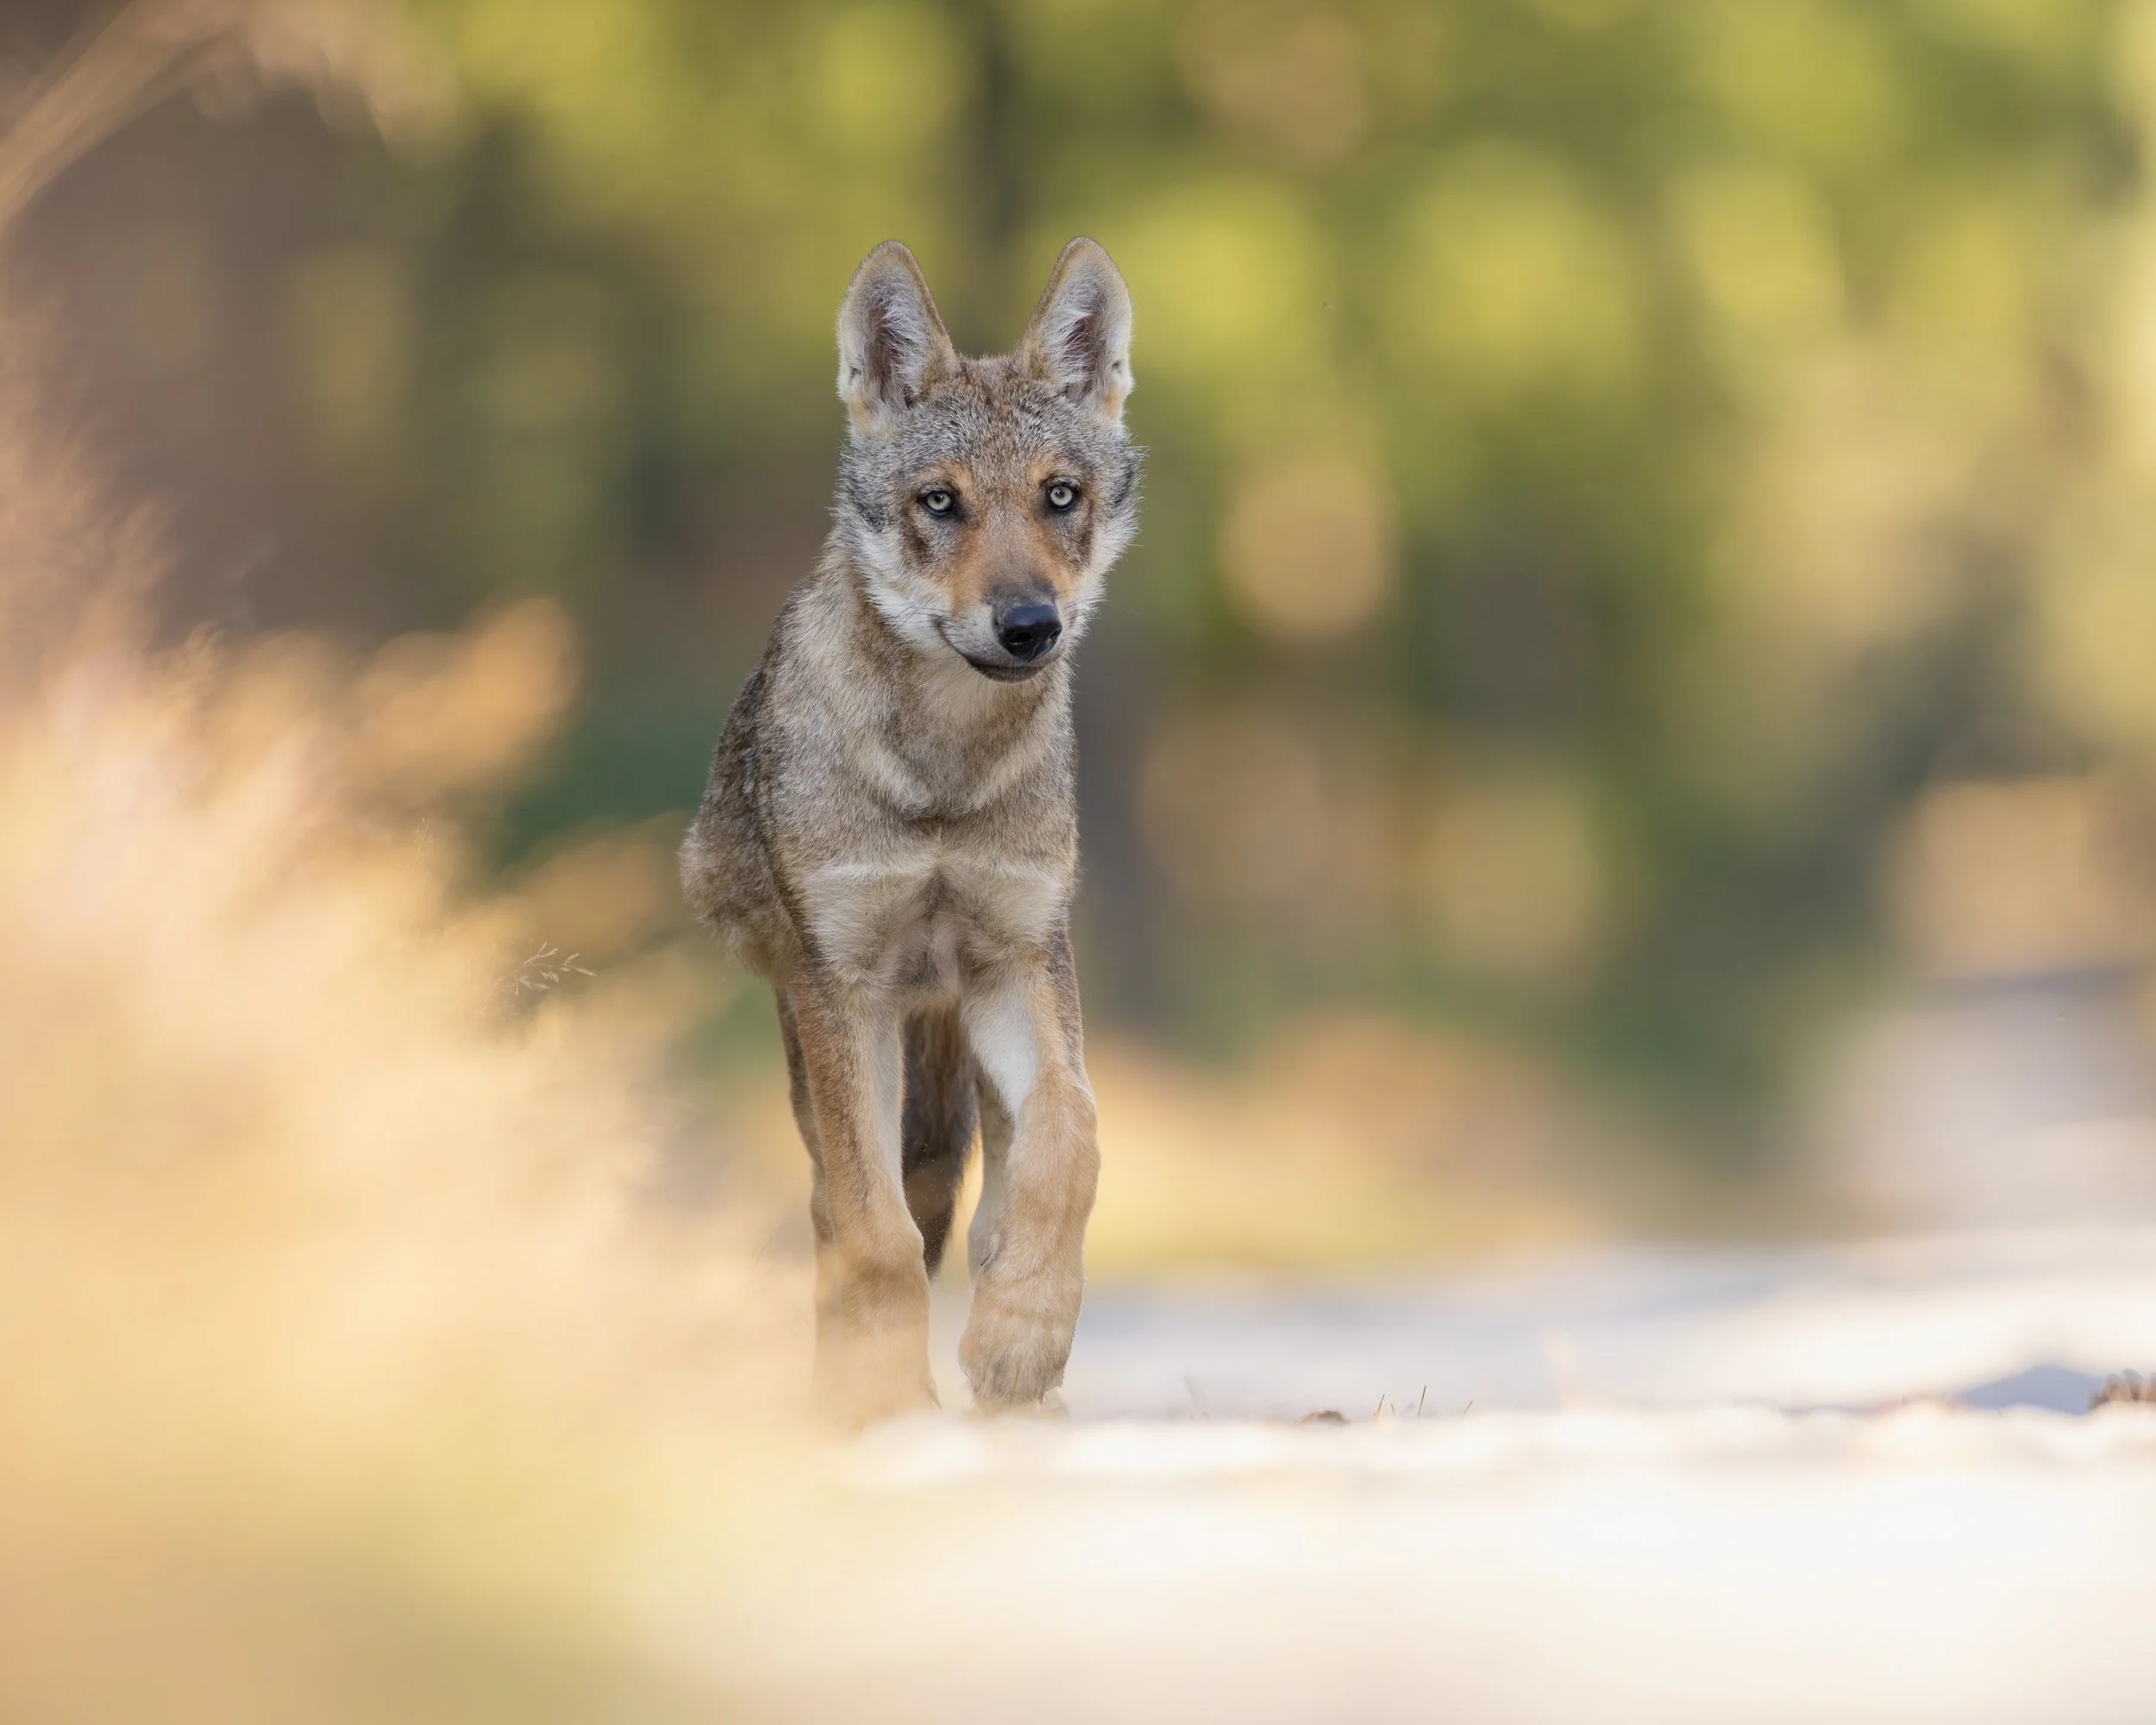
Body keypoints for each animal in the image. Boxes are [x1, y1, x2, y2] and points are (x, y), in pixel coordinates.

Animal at [681, 238, 1139, 1421]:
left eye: (1059, 496)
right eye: (941, 502)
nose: (1029, 624)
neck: (944, 776)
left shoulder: (1022, 956)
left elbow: (1074, 1139)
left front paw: (1020, 1340)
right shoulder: (841, 988)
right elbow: (870, 1229)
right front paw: (882, 1398)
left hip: (956, 1052)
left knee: (988, 1191)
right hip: (831, 1045)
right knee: (837, 1215)